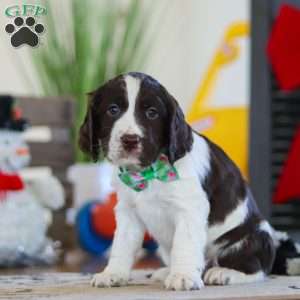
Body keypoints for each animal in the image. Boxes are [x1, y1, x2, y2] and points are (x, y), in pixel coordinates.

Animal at [78, 71, 276, 290]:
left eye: (152, 113)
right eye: (112, 110)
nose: (130, 140)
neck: (150, 172)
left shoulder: (190, 207)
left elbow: (185, 243)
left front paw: (183, 276)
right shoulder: (128, 210)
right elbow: (122, 244)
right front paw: (113, 274)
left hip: (252, 235)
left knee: (257, 269)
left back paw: (224, 273)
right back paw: (166, 272)